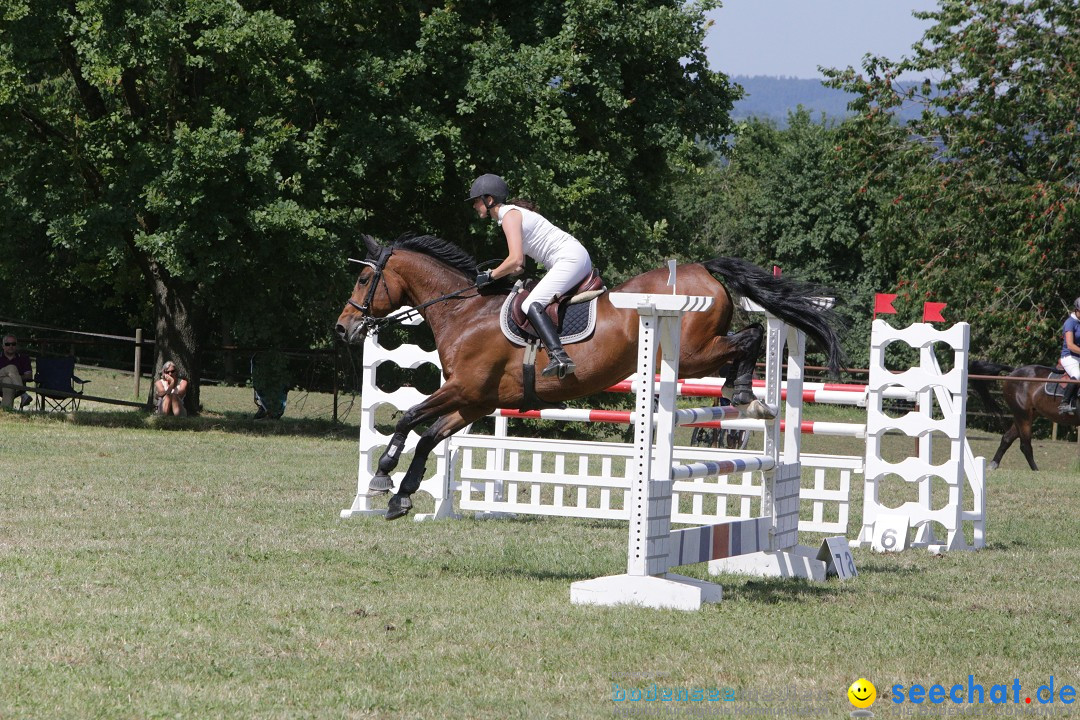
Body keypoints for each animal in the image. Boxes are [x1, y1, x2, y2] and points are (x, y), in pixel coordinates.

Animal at [332, 234, 846, 520]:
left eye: (364, 280)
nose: (343, 328)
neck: (462, 311)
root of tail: (702, 268)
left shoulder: (462, 389)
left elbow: (408, 420)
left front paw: (381, 478)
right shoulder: (474, 400)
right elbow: (427, 437)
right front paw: (401, 496)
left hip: (692, 353)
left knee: (751, 335)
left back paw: (741, 391)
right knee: (750, 336)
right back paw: (746, 395)